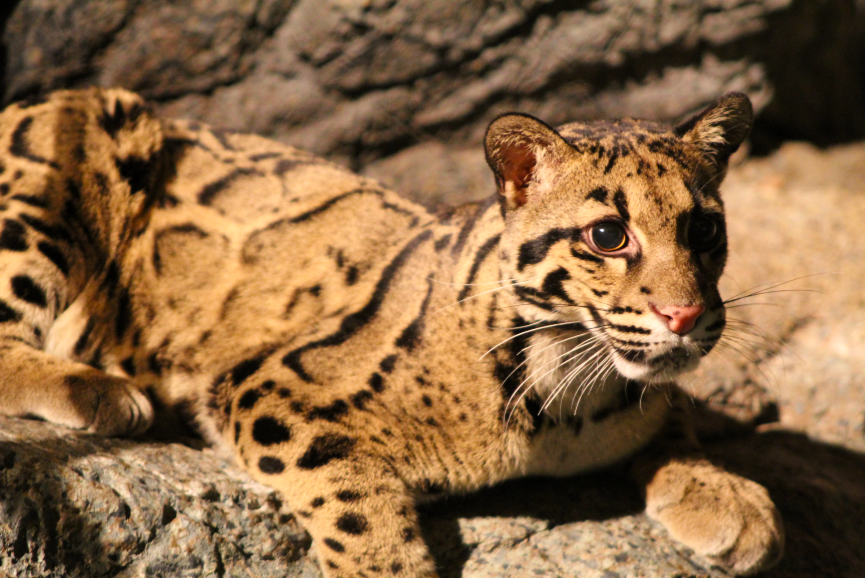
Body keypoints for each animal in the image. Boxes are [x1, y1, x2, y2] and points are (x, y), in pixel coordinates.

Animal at [0, 87, 783, 576]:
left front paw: (725, 495)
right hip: (83, 142)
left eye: (704, 230)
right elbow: (354, 500)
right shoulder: (267, 385)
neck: (567, 387)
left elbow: (674, 414)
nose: (686, 315)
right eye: (608, 235)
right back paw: (96, 389)